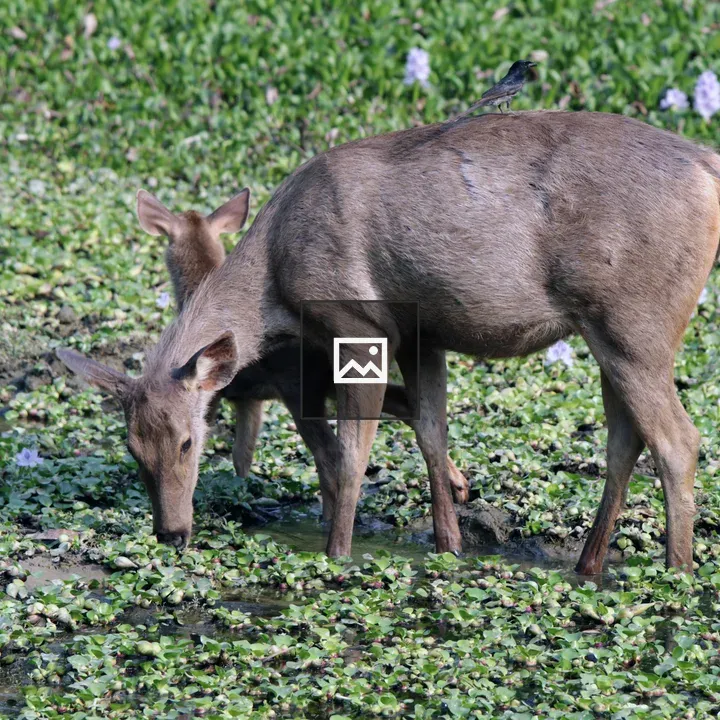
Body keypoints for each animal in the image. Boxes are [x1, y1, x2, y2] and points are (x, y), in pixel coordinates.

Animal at [58, 110, 720, 573]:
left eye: (190, 442)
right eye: (132, 451)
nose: (171, 533)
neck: (275, 282)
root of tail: (707, 166)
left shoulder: (360, 326)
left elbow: (349, 457)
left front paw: (337, 554)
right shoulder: (421, 332)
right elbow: (430, 431)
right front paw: (449, 545)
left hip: (637, 319)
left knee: (678, 440)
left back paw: (677, 571)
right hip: (606, 329)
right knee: (625, 439)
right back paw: (589, 564)